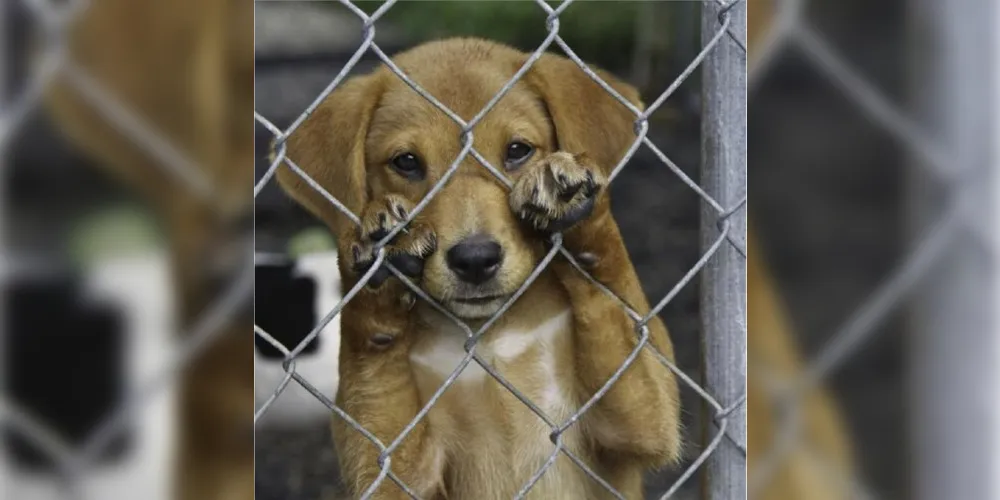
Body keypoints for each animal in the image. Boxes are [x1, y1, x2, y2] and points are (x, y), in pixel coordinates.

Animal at [282, 37, 684, 498]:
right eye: (406, 162)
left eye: (518, 150)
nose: (475, 260)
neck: (493, 335)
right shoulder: (391, 471)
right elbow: (374, 362)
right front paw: (376, 269)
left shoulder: (638, 424)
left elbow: (609, 293)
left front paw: (575, 204)